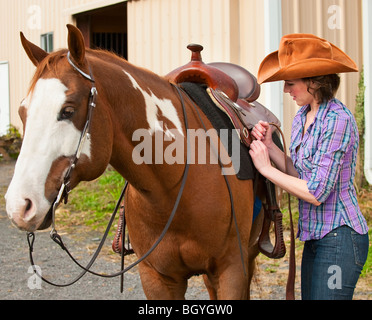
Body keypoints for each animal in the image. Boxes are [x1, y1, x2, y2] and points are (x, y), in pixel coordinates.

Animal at [5, 25, 262, 300]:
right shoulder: (157, 278)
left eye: (68, 110)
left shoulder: (231, 271)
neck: (175, 187)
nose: (18, 206)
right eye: (22, 112)